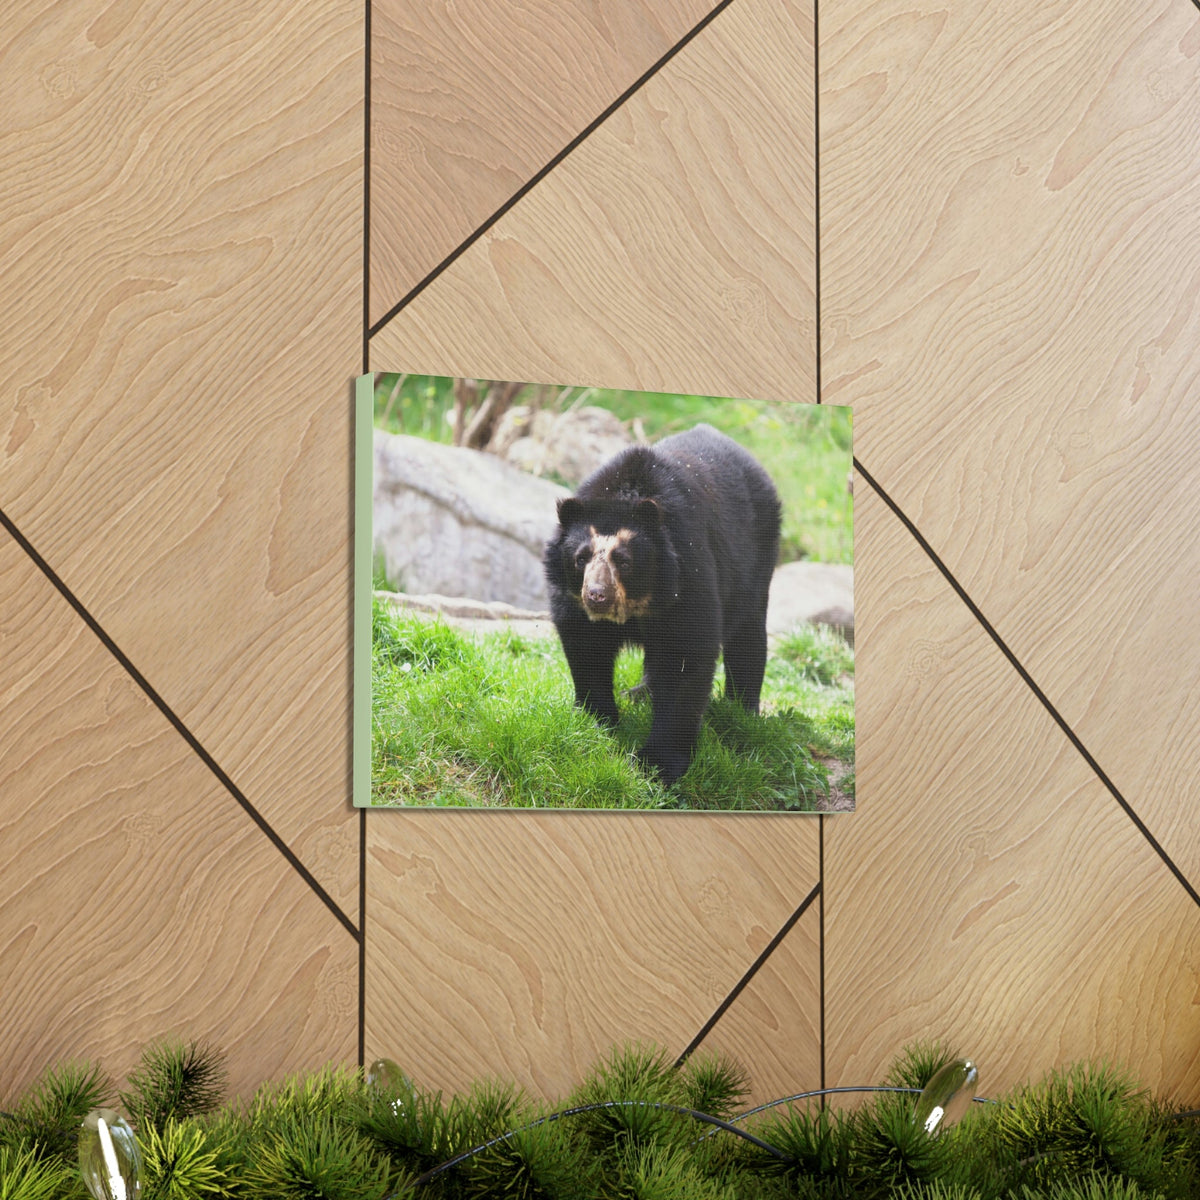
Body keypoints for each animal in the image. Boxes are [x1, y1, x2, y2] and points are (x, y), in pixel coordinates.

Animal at [543, 423, 781, 785]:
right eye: (580, 558)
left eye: (624, 561)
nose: (597, 595)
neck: (639, 602)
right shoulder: (573, 602)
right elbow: (587, 648)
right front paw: (596, 721)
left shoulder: (687, 574)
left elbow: (687, 656)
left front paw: (657, 764)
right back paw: (639, 693)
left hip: (756, 557)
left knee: (748, 635)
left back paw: (742, 710)